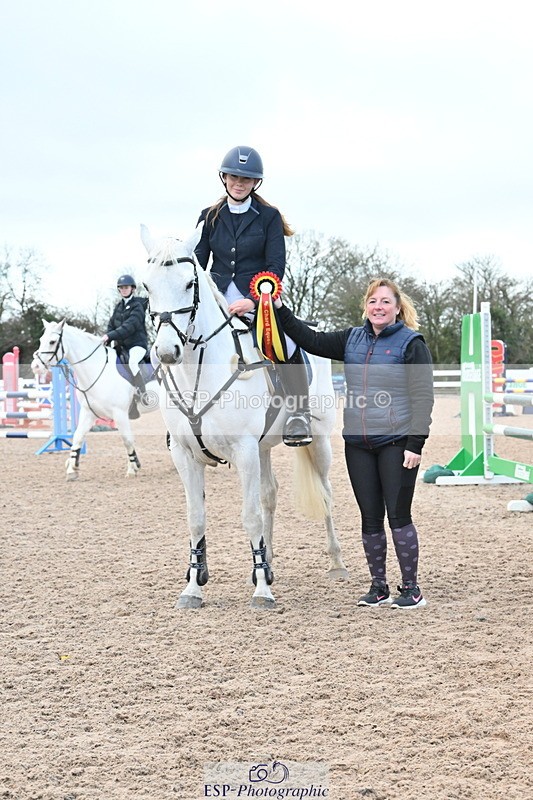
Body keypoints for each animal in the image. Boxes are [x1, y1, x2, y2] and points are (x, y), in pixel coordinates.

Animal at [34, 320, 159, 481]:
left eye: (52, 342)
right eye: (41, 340)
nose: (36, 366)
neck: (98, 370)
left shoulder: (120, 414)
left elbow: (127, 440)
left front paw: (132, 468)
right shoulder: (88, 412)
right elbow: (78, 436)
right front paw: (72, 469)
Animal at [140, 224, 348, 609]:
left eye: (189, 284)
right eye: (147, 286)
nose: (167, 352)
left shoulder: (244, 450)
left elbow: (249, 517)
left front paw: (262, 592)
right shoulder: (185, 455)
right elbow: (196, 519)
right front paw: (193, 587)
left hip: (318, 441)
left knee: (325, 493)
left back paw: (336, 563)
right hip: (264, 450)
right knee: (269, 495)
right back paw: (269, 563)